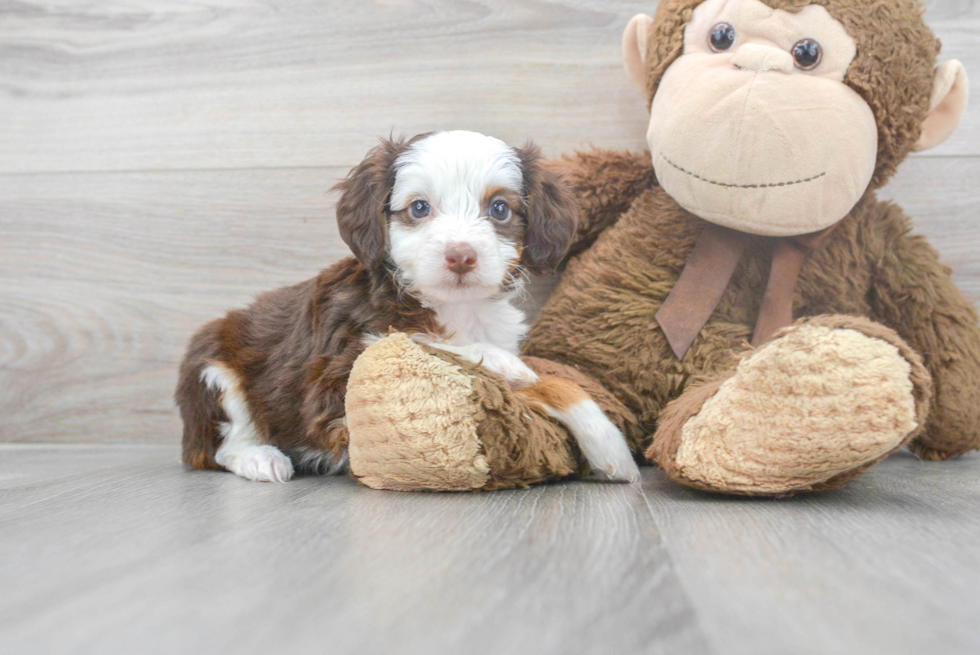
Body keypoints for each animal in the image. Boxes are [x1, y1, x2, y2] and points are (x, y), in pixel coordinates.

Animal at [176, 131, 640, 484]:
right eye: (419, 207)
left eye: (499, 209)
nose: (461, 256)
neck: (457, 308)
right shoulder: (334, 372)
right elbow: (426, 341)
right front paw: (499, 362)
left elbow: (556, 384)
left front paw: (610, 449)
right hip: (212, 364)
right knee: (220, 445)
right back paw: (262, 458)